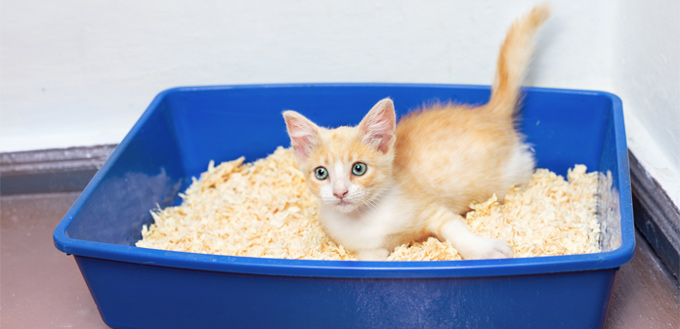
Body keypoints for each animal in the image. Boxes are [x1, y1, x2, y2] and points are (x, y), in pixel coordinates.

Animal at [284, 3, 548, 258]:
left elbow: (456, 230)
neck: (364, 218)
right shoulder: (366, 250)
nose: (340, 192)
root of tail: (489, 111)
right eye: (321, 173)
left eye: (359, 168)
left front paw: (485, 250)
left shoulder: (434, 210)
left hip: (512, 175)